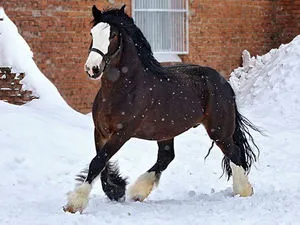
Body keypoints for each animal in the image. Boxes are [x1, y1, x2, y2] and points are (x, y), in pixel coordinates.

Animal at [62, 4, 260, 213]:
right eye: (92, 33)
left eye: (113, 35)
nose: (92, 68)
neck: (124, 89)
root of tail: (223, 82)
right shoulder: (100, 131)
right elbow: (101, 163)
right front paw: (115, 190)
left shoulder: (121, 134)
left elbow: (98, 161)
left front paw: (74, 204)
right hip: (166, 131)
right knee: (166, 157)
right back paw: (138, 192)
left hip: (219, 131)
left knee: (234, 153)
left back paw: (243, 191)